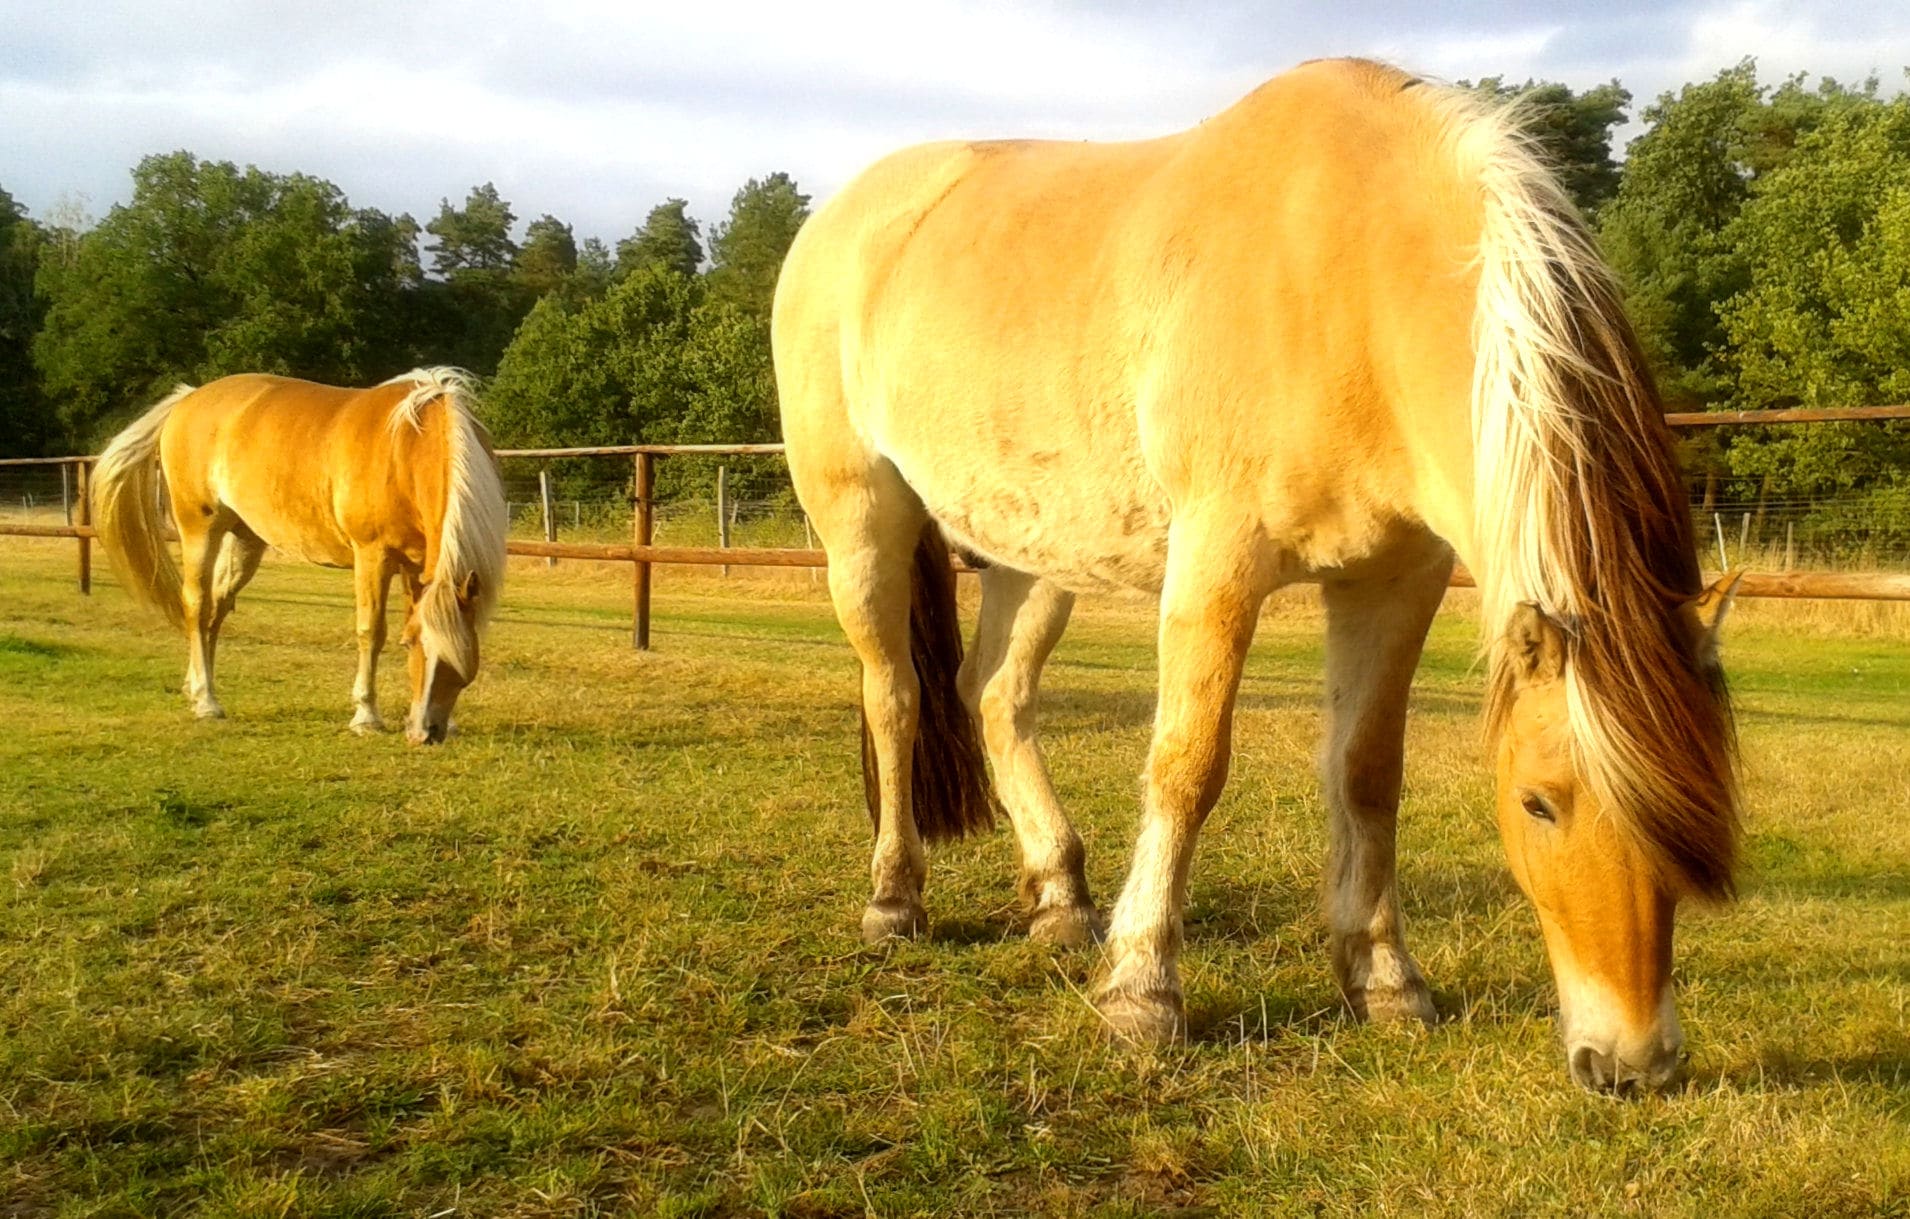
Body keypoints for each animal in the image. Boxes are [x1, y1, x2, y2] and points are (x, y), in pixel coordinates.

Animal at [89, 366, 508, 745]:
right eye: (409, 645)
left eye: (462, 655)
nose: (425, 733)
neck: (406, 446)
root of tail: (188, 399)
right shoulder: (372, 556)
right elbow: (370, 631)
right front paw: (366, 716)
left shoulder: (417, 564)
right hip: (199, 529)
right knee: (196, 604)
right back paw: (207, 702)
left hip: (244, 540)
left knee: (216, 609)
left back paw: (196, 689)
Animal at [775, 59, 1749, 1100]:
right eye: (1538, 801)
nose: (1635, 1062)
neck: (1352, 273)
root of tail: (843, 216)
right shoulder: (1218, 560)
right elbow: (1186, 765)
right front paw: (1143, 994)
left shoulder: (1394, 580)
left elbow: (1367, 774)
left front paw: (1385, 979)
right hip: (862, 526)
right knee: (897, 696)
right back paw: (895, 898)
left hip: (1032, 550)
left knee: (995, 695)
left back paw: (1061, 898)